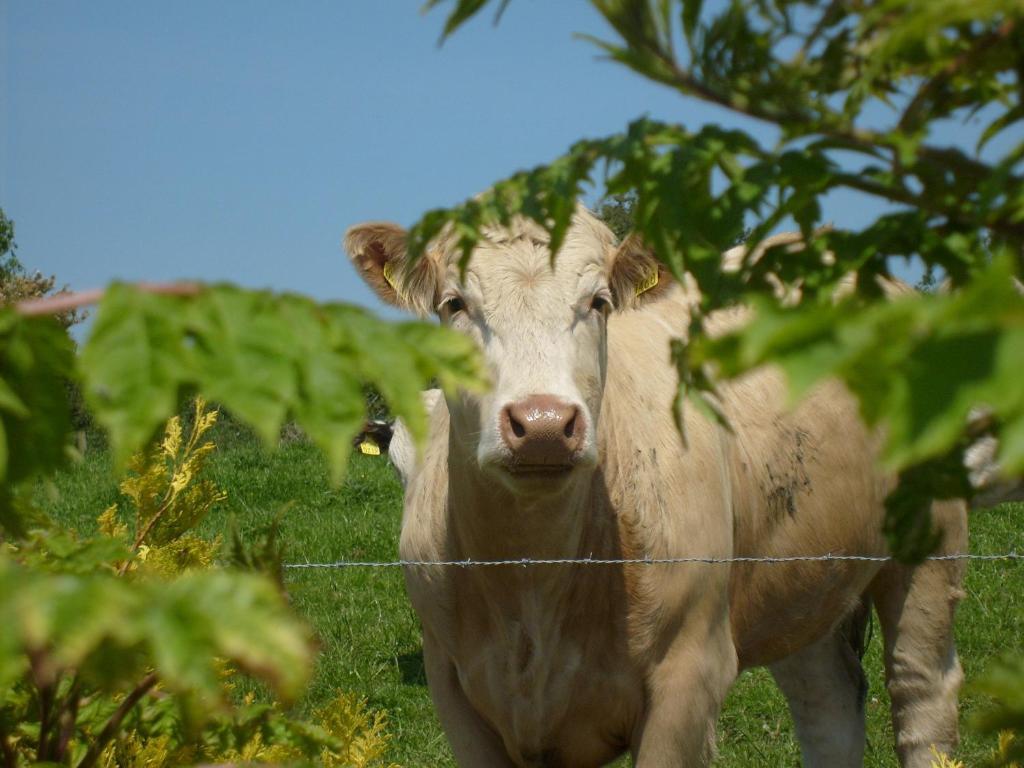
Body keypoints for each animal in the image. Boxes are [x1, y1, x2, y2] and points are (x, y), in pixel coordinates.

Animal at [344, 205, 966, 768]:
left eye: (598, 302)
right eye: (454, 304)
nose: (543, 424)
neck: (531, 579)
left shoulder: (688, 676)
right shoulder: (454, 688)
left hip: (931, 546)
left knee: (921, 694)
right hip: (803, 578)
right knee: (828, 707)